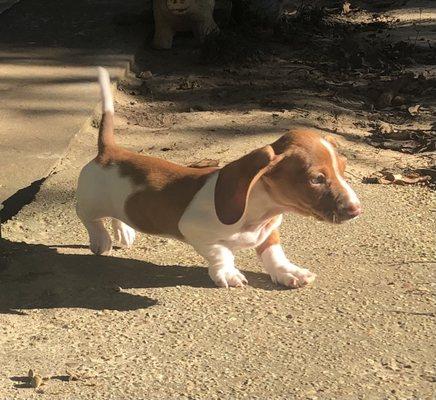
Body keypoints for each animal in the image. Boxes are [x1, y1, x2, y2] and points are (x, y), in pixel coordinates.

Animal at [76, 68, 362, 288]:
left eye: (343, 167)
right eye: (316, 179)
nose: (357, 210)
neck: (259, 210)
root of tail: (109, 152)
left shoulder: (269, 232)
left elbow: (273, 253)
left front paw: (288, 272)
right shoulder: (196, 230)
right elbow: (221, 253)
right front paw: (228, 273)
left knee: (117, 213)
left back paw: (123, 231)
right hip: (89, 202)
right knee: (90, 218)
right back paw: (101, 240)